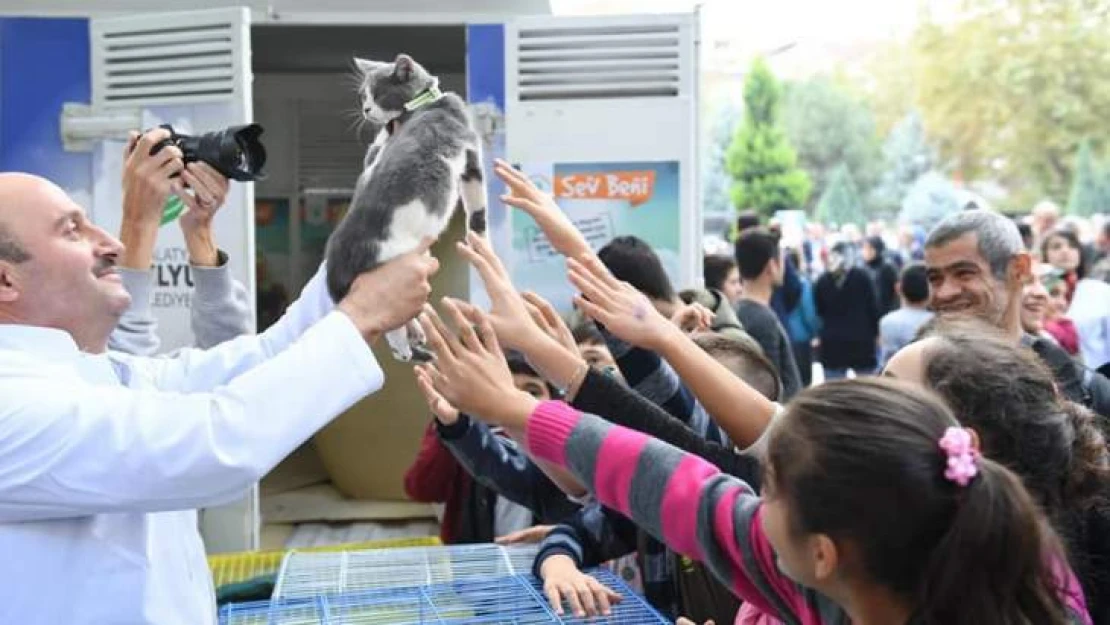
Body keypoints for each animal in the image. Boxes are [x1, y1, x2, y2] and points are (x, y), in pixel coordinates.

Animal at [326, 56, 488, 364]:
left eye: (376, 94)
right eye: (363, 95)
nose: (365, 109)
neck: (424, 104)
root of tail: (340, 257)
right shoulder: (471, 157)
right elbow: (478, 209)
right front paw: (481, 243)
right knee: (390, 321)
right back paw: (405, 349)